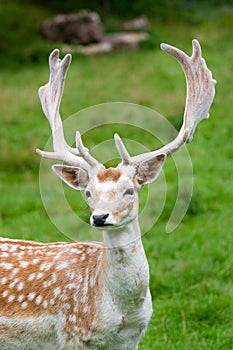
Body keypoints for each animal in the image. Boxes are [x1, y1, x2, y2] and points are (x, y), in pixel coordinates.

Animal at [0, 39, 216, 348]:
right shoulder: (71, 335)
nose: (100, 217)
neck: (123, 314)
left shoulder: (133, 338)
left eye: (130, 190)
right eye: (88, 192)